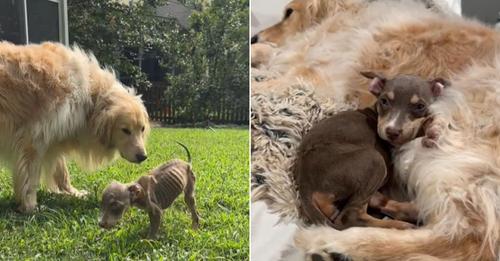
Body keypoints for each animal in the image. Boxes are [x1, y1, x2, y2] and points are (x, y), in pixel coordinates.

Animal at [292, 72, 448, 229]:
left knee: (380, 203)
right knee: (351, 216)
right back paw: (402, 226)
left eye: (420, 106)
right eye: (384, 101)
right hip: (375, 161)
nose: (392, 131)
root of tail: (304, 185)